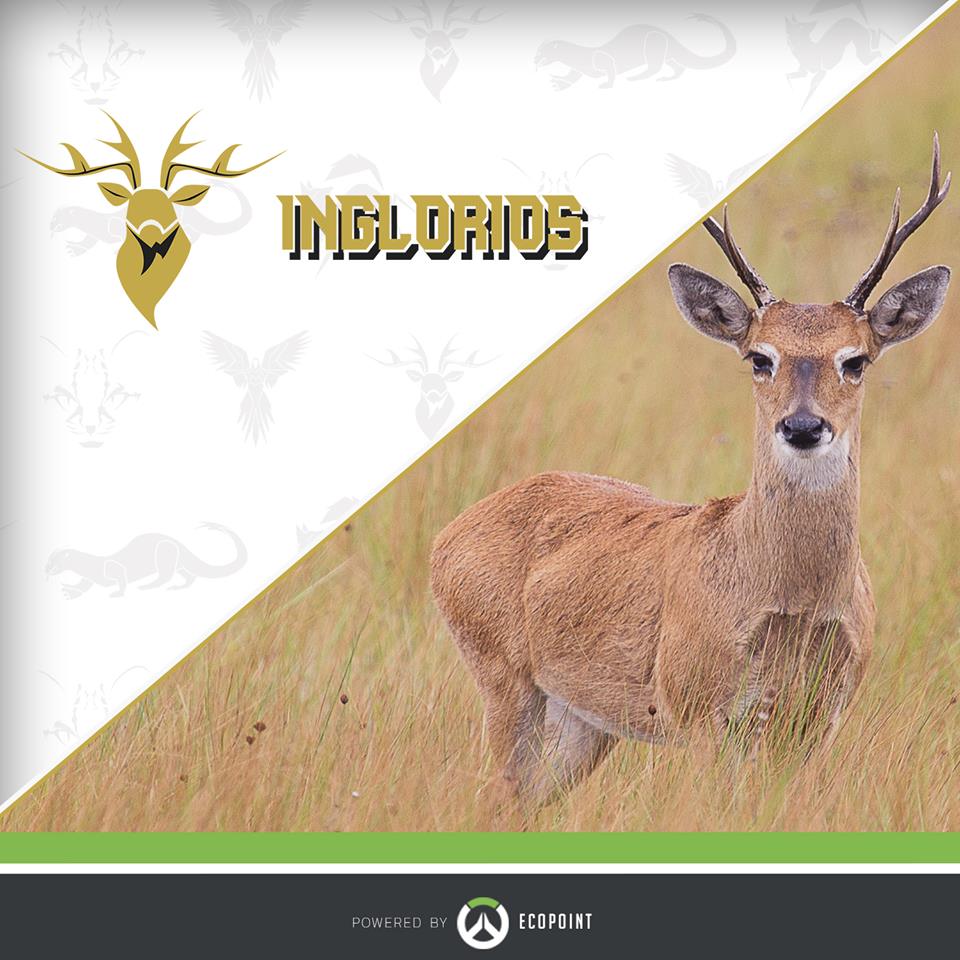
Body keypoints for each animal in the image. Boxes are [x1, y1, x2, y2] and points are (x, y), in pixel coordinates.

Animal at [430, 136, 951, 818]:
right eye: (759, 357)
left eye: (856, 360)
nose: (803, 426)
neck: (791, 598)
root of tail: (445, 539)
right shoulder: (699, 709)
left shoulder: (816, 722)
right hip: (501, 675)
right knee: (491, 796)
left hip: (582, 721)